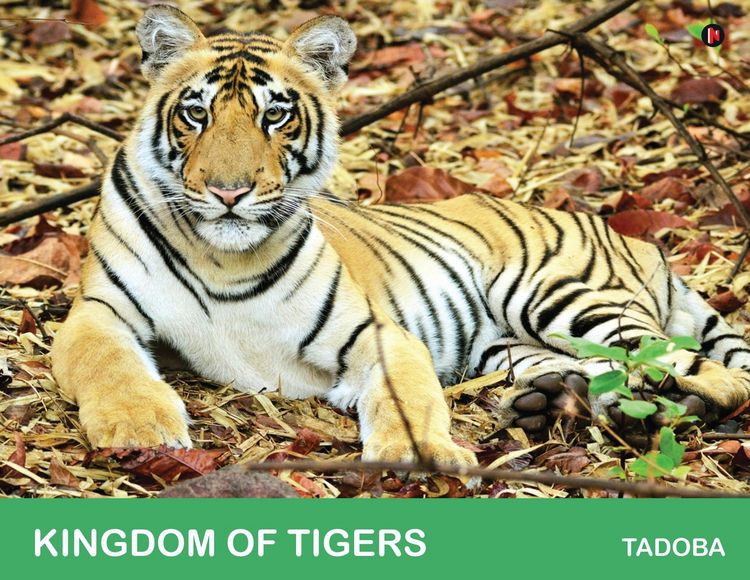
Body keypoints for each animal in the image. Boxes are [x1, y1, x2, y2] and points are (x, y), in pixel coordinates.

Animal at [51, 5, 750, 469]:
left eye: (275, 115)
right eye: (196, 113)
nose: (228, 192)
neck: (223, 257)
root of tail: (636, 239)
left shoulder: (376, 333)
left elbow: (405, 394)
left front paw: (421, 453)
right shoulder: (99, 311)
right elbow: (108, 364)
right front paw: (140, 428)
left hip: (558, 293)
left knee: (708, 372)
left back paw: (656, 410)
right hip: (507, 348)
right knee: (606, 371)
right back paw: (557, 405)